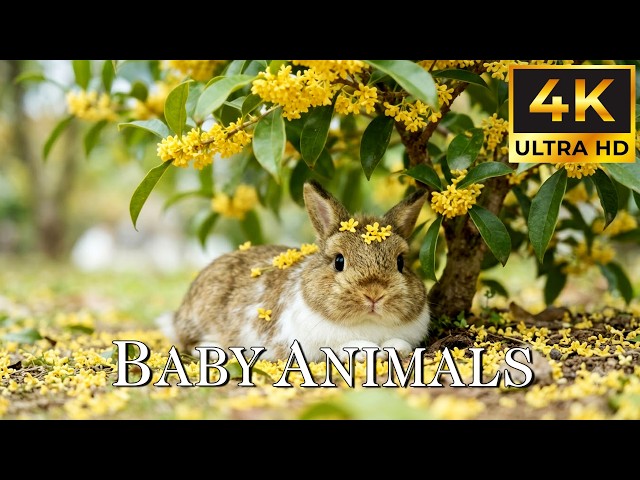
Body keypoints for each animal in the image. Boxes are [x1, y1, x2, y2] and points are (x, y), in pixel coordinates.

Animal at [162, 179, 431, 363]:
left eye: (400, 262)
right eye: (339, 261)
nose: (374, 294)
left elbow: (401, 344)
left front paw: (391, 349)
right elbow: (348, 346)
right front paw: (371, 351)